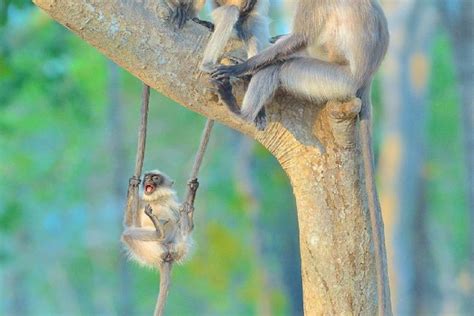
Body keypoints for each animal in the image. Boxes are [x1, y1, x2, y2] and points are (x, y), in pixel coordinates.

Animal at [122, 170, 198, 316]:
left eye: (155, 178)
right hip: (152, 250)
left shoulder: (173, 202)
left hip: (178, 245)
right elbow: (129, 223)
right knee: (127, 235)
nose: (148, 180)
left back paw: (186, 219)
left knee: (184, 229)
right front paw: (132, 184)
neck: (156, 199)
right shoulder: (142, 202)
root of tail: (168, 254)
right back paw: (159, 232)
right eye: (147, 177)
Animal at [213, 0, 390, 314]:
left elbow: (300, 39)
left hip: (334, 81)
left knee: (282, 66)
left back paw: (242, 112)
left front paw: (240, 68)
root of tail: (366, 79)